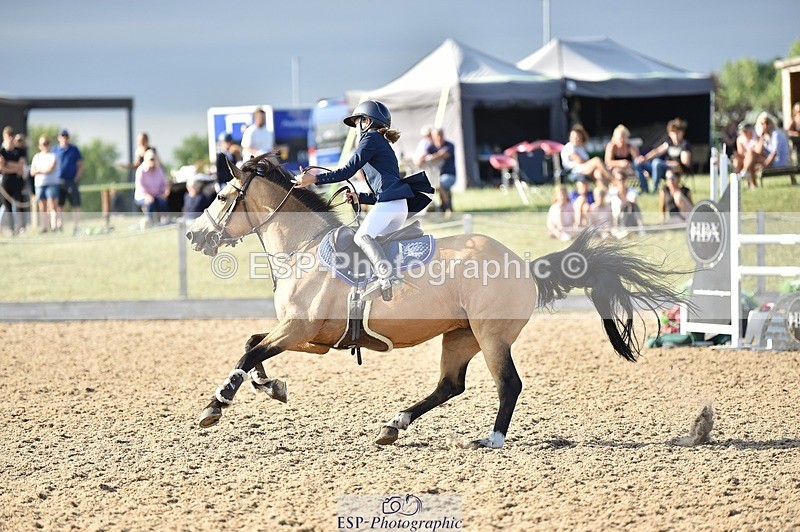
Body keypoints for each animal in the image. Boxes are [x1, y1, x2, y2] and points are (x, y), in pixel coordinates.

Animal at [185, 154, 678, 449]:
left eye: (223, 195)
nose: (193, 235)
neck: (303, 249)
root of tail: (524, 267)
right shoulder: (310, 337)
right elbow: (253, 345)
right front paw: (271, 387)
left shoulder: (298, 329)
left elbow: (249, 353)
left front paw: (216, 404)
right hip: (460, 336)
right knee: (449, 385)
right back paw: (394, 425)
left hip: (491, 337)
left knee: (508, 384)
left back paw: (490, 439)